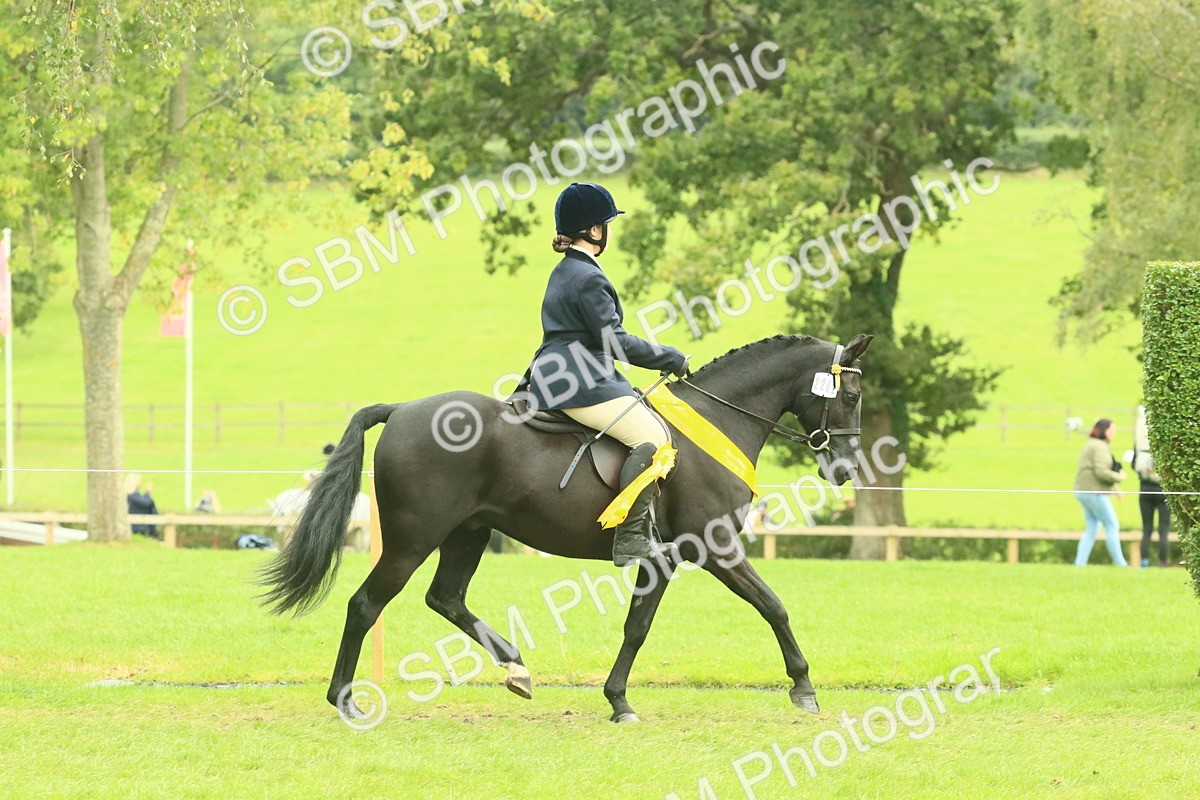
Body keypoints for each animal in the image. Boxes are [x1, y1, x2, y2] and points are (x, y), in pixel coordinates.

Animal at [260, 332, 873, 723]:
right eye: (851, 394)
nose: (846, 470)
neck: (717, 420)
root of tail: (404, 409)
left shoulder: (664, 559)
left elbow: (637, 627)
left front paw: (617, 699)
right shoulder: (714, 547)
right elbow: (772, 606)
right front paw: (804, 687)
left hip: (468, 533)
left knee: (446, 598)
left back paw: (516, 669)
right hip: (413, 541)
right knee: (366, 605)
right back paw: (346, 700)